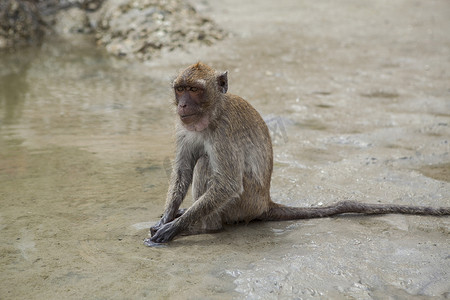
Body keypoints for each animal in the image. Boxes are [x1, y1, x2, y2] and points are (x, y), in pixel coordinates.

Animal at [145, 62, 450, 246]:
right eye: (180, 89)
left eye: (195, 90)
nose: (183, 104)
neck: (210, 115)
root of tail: (266, 202)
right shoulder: (183, 127)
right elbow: (183, 170)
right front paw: (167, 218)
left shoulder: (224, 132)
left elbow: (228, 184)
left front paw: (174, 227)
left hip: (245, 204)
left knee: (209, 166)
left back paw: (205, 227)